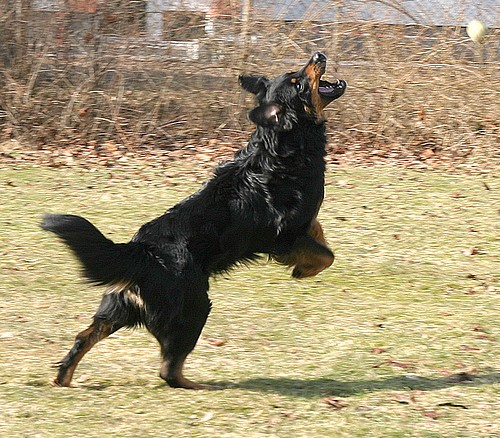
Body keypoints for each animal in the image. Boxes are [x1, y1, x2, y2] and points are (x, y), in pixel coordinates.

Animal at [42, 52, 344, 390]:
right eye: (298, 82)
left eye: (297, 72)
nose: (318, 55)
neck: (283, 147)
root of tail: (141, 252)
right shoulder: (284, 235)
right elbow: (326, 255)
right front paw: (303, 270)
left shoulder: (304, 225)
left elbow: (320, 235)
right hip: (195, 307)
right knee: (169, 369)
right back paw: (201, 386)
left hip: (116, 308)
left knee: (84, 337)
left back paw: (63, 378)